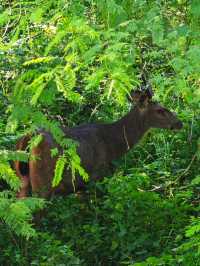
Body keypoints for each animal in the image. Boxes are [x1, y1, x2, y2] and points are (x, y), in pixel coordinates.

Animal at [14, 88, 183, 198]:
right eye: (160, 110)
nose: (179, 123)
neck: (114, 145)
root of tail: (27, 138)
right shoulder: (97, 175)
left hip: (21, 180)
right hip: (42, 182)